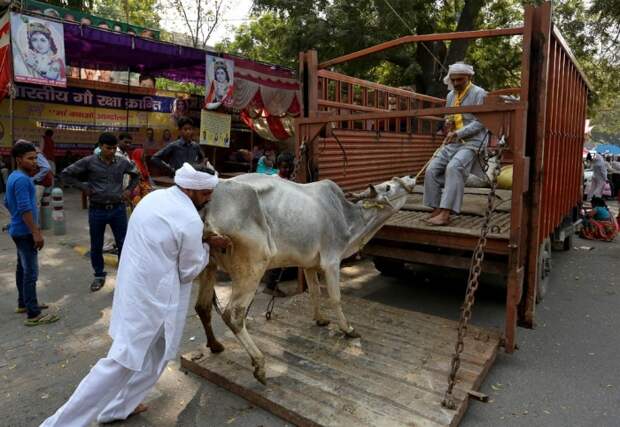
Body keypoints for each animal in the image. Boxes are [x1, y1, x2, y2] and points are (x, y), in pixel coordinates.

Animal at [196, 174, 414, 384]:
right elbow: (335, 298)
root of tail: (210, 205)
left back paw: (215, 346)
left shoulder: (309, 265)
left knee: (203, 307)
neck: (347, 218)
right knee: (233, 315)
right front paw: (348, 329)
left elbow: (314, 292)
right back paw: (259, 364)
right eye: (388, 186)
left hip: (209, 266)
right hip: (252, 267)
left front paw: (320, 319)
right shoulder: (331, 261)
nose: (410, 178)